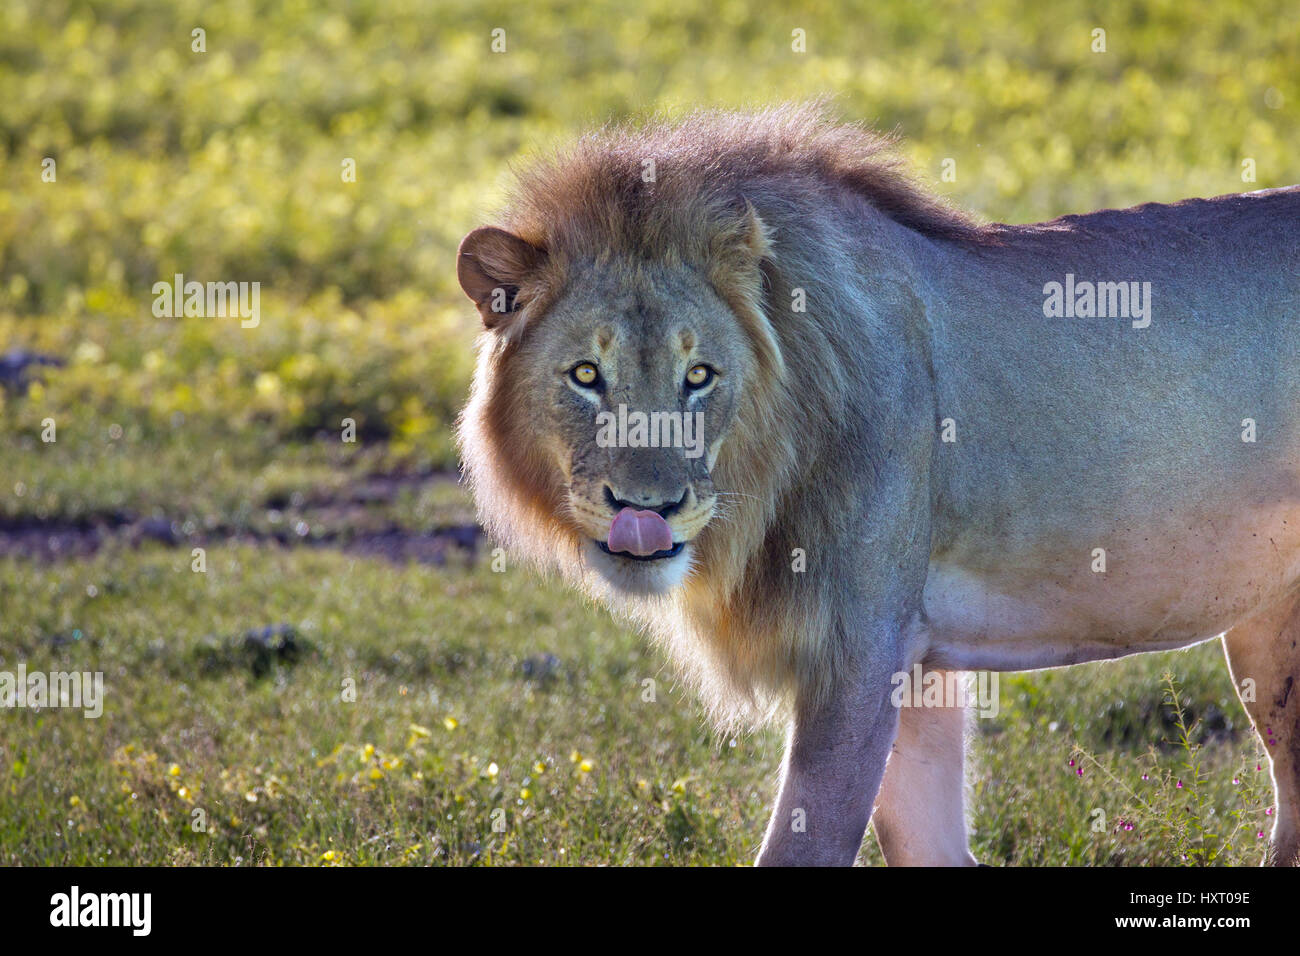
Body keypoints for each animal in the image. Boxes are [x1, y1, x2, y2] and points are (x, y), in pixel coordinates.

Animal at [454, 102, 1300, 868]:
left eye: (699, 376)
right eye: (585, 376)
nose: (648, 510)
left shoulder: (862, 646)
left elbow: (808, 843)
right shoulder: (919, 663)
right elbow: (926, 842)